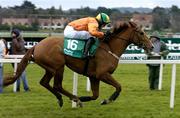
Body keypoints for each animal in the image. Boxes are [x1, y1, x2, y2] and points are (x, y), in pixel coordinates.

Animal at [3, 20, 153, 107]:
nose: (151, 46)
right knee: (57, 85)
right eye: (141, 33)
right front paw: (107, 100)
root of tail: (36, 45)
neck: (110, 48)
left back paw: (63, 99)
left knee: (44, 82)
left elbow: (95, 95)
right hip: (58, 66)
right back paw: (74, 99)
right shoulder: (102, 74)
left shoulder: (94, 76)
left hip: (50, 68)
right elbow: (119, 87)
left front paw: (85, 98)